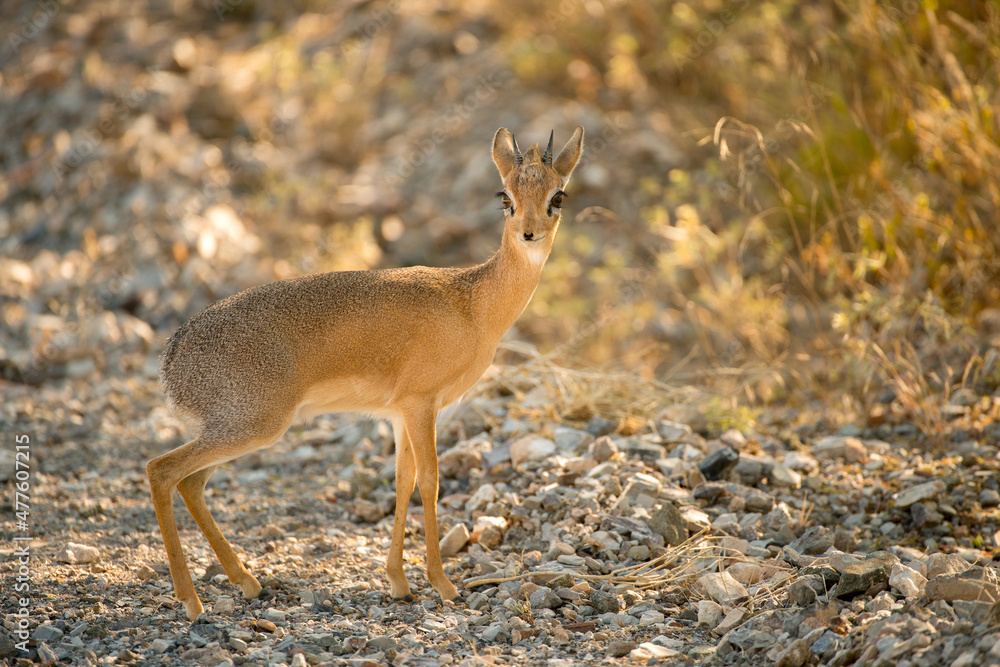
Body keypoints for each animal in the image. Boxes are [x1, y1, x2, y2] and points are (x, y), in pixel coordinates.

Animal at [148, 126, 584, 620]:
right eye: (505, 195)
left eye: (557, 196)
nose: (529, 233)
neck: (473, 305)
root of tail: (173, 355)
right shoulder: (421, 404)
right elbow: (431, 482)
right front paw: (443, 584)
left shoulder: (398, 415)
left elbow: (403, 481)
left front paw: (398, 582)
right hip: (252, 426)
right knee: (161, 470)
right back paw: (192, 600)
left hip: (233, 429)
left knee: (191, 483)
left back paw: (247, 582)